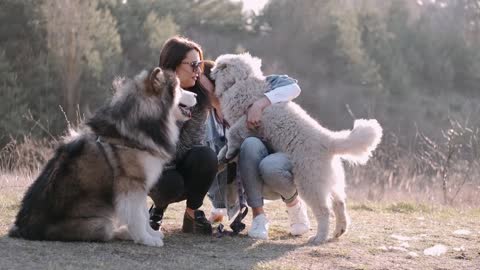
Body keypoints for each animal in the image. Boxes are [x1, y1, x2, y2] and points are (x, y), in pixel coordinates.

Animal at [210, 52, 382, 245]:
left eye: (218, 66)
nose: (209, 71)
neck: (241, 81)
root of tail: (327, 140)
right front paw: (224, 154)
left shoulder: (246, 122)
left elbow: (233, 133)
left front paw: (229, 150)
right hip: (329, 179)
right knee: (339, 203)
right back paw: (339, 230)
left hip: (309, 182)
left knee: (324, 211)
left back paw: (319, 237)